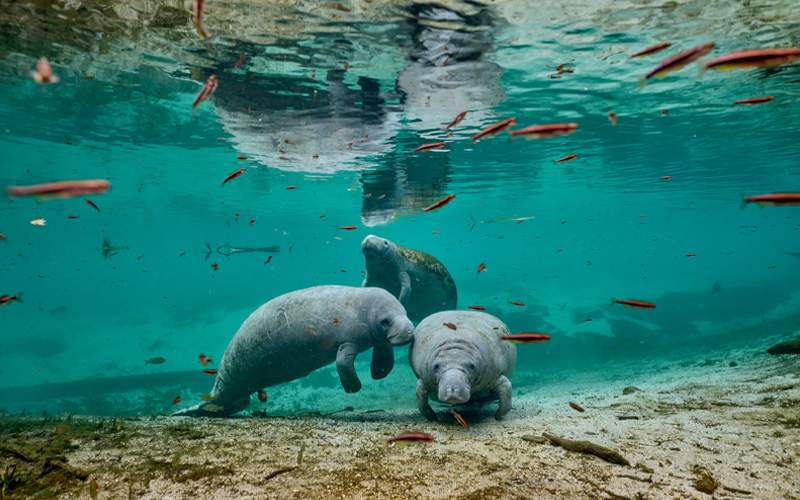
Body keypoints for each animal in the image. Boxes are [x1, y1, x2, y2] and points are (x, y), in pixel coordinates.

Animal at [173, 286, 416, 418]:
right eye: (385, 321)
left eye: (405, 312)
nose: (410, 331)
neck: (367, 312)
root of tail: (215, 393)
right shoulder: (348, 340)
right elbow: (343, 363)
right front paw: (354, 388)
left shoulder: (376, 337)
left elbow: (384, 351)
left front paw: (379, 373)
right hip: (224, 385)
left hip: (236, 394)